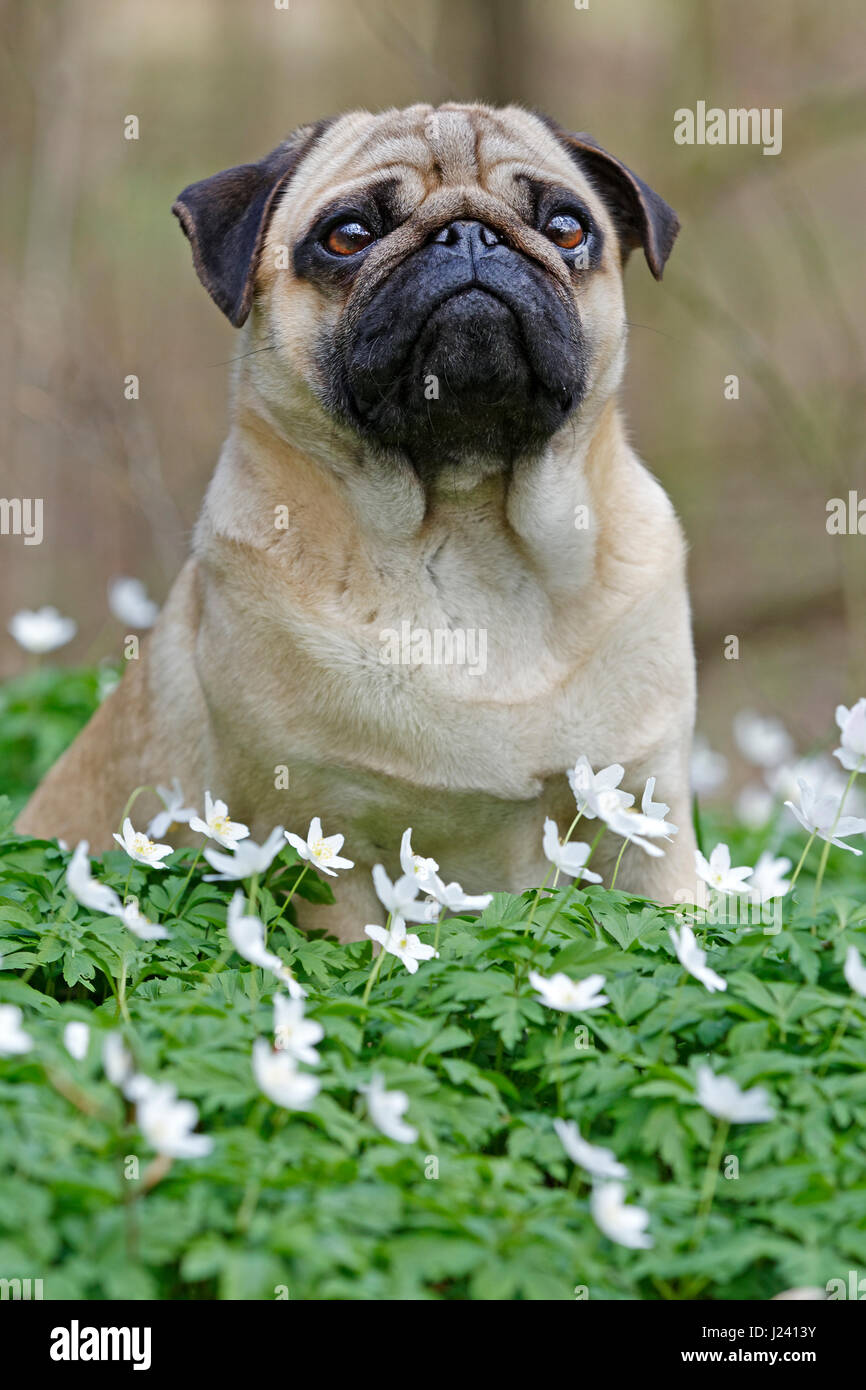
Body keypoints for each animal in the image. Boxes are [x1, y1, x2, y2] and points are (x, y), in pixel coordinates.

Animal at [16, 102, 697, 939]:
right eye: (347, 236)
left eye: (568, 228)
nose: (469, 234)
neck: (467, 528)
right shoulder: (322, 840)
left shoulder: (646, 819)